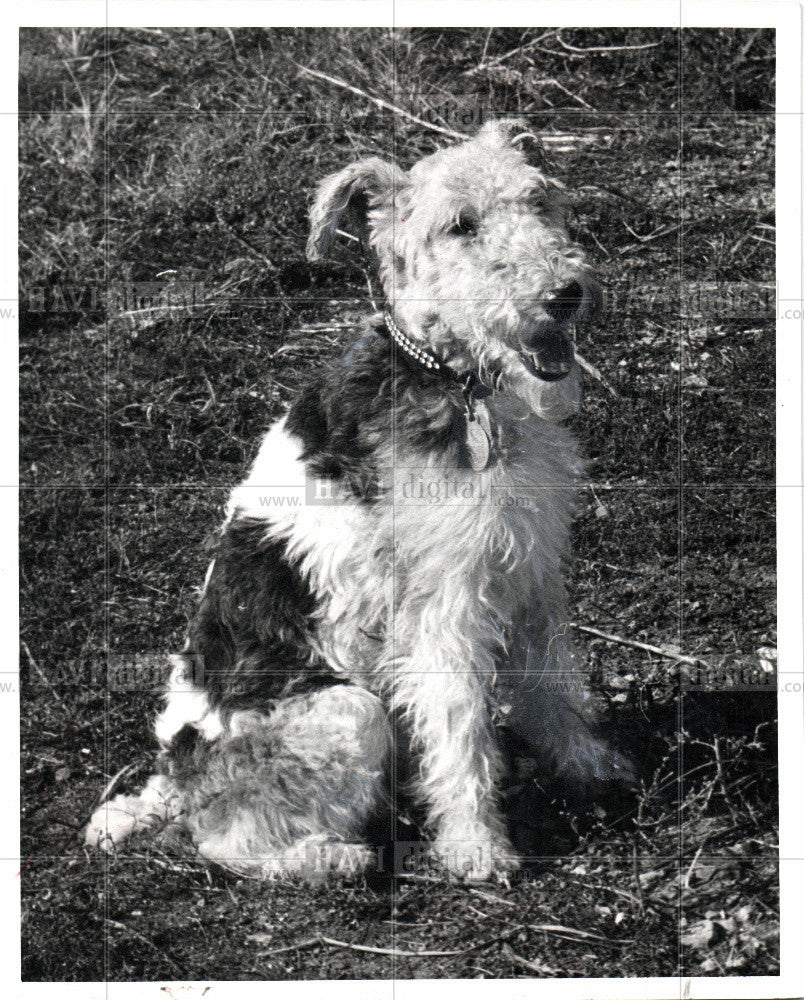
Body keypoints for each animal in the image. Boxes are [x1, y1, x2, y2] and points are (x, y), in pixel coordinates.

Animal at [85, 121, 632, 880]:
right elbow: (459, 727)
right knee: (225, 841)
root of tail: (172, 780)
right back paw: (342, 859)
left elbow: (552, 683)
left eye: (539, 199)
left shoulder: (529, 566)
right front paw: (477, 846)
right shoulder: (443, 604)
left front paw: (590, 767)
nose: (563, 294)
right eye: (459, 225)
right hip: (348, 711)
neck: (456, 381)